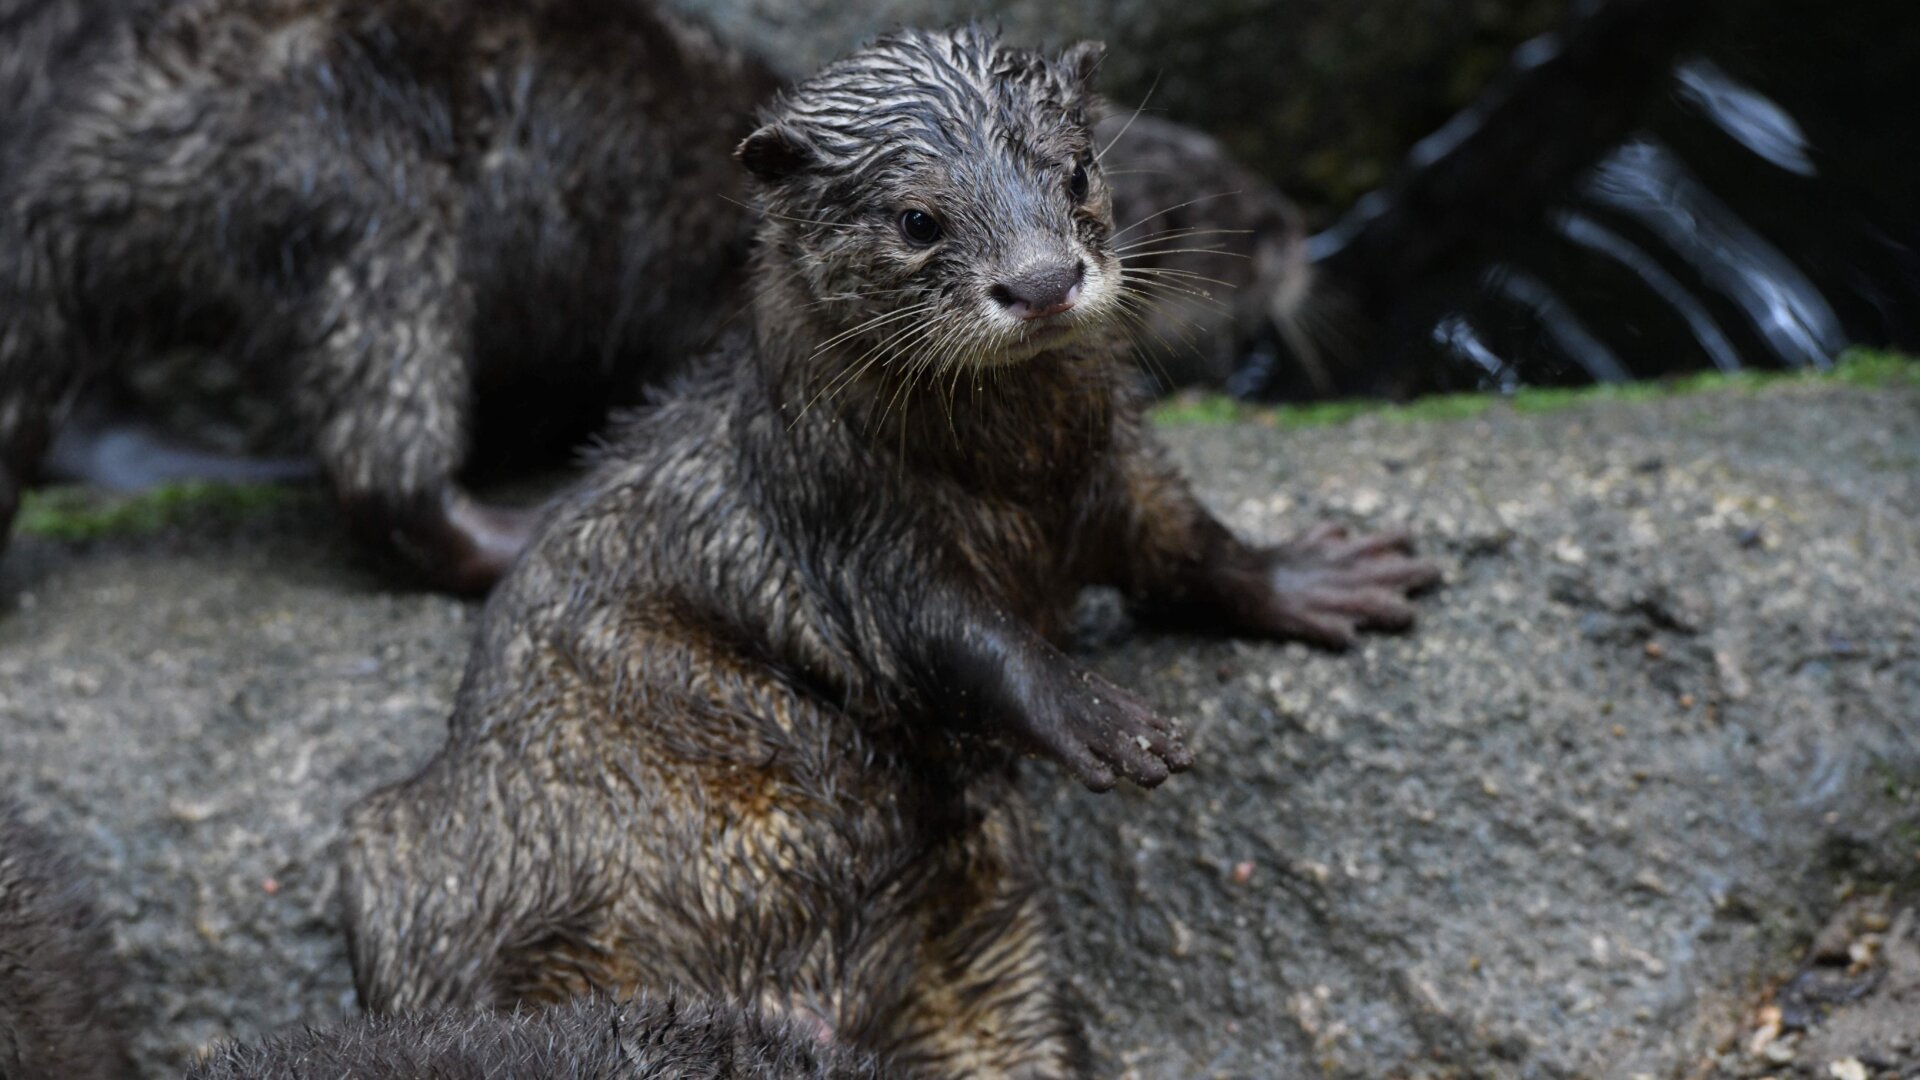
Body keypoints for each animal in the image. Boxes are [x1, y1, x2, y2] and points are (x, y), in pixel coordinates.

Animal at [0, 0, 1311, 592]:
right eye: (1210, 226)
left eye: (1083, 173)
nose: (1297, 234)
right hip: (370, 194)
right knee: (382, 464)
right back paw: (519, 525)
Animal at [340, 25, 1436, 1078]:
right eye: (917, 222)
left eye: (1078, 171)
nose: (1043, 280)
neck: (1019, 485)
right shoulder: (851, 534)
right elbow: (957, 644)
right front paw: (1095, 715)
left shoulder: (1118, 470)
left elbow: (1187, 547)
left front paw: (1316, 578)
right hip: (415, 877)